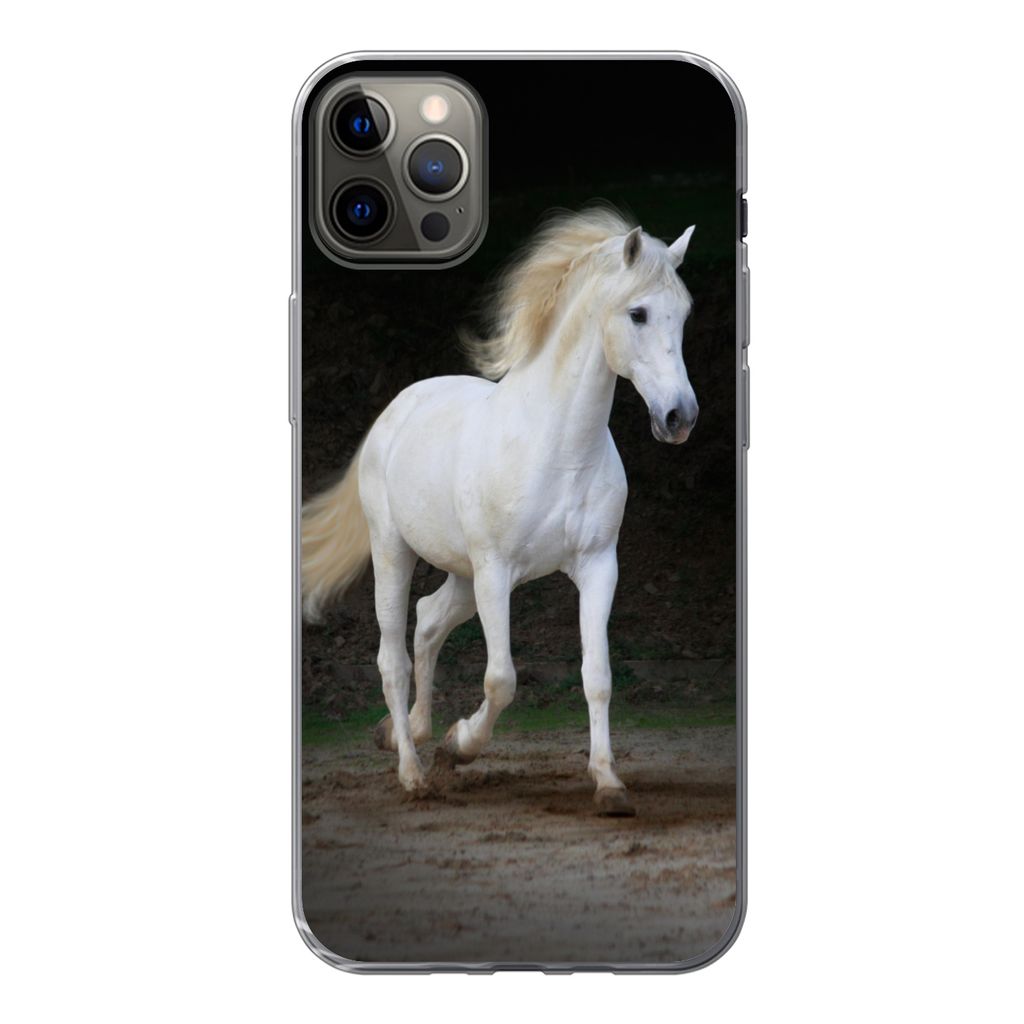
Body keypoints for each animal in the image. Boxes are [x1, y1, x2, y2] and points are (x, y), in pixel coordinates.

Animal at [302, 207, 698, 816]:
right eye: (639, 313)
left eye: (684, 314)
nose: (680, 417)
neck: (557, 446)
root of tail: (396, 409)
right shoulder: (496, 573)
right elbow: (501, 679)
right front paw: (460, 746)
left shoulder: (598, 567)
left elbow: (598, 674)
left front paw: (609, 784)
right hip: (394, 552)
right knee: (392, 657)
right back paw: (413, 772)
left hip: (461, 576)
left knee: (427, 621)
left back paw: (409, 731)